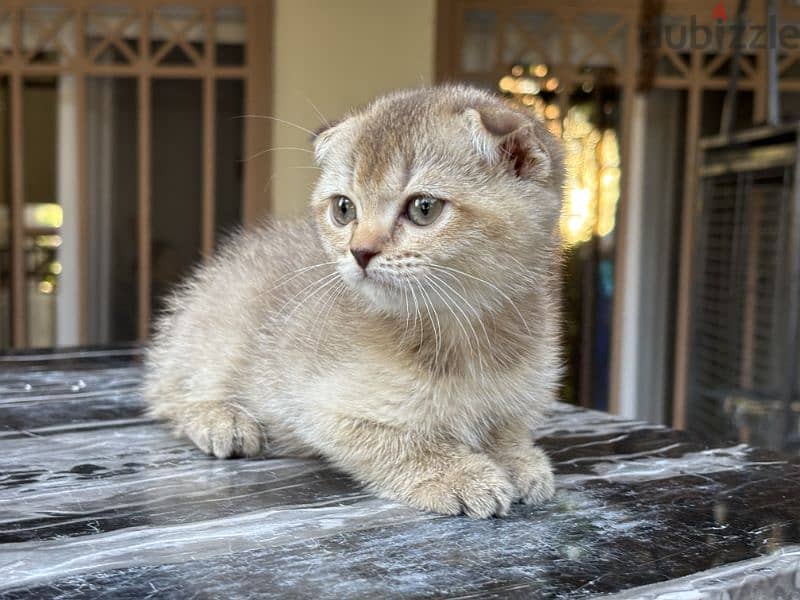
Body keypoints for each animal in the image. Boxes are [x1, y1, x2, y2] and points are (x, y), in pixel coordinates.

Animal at [147, 85, 564, 520]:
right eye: (344, 208)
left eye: (424, 207)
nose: (360, 252)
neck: (465, 334)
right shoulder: (316, 406)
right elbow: (397, 441)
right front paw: (458, 475)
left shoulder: (519, 398)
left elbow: (506, 427)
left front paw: (518, 460)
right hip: (226, 325)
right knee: (169, 393)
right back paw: (220, 419)